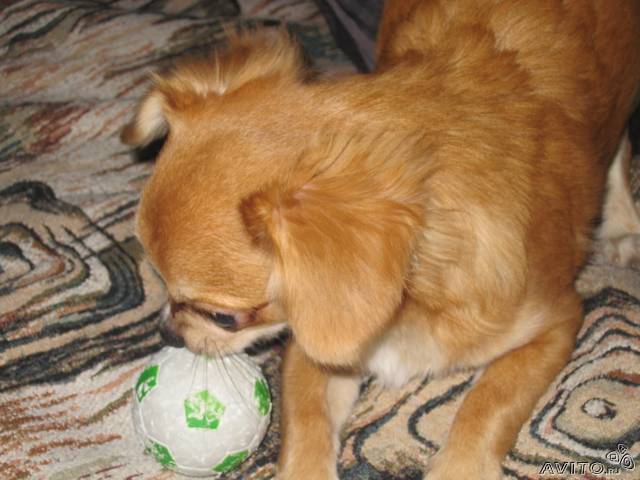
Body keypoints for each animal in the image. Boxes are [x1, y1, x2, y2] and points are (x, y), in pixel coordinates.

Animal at [122, 1, 640, 478]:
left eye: (223, 317)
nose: (165, 332)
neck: (405, 312)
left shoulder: (556, 324)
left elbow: (489, 403)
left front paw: (459, 467)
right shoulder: (315, 348)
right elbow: (307, 421)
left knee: (618, 149)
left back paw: (620, 224)